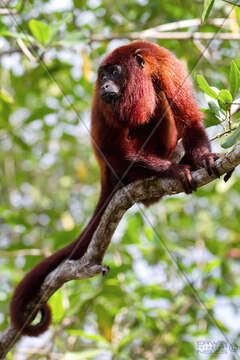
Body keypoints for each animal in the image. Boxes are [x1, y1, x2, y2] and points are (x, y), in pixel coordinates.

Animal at [9, 40, 221, 336]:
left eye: (114, 72)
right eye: (102, 75)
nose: (106, 84)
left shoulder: (169, 69)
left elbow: (189, 120)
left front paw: (202, 158)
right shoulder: (103, 102)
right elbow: (111, 149)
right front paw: (173, 170)